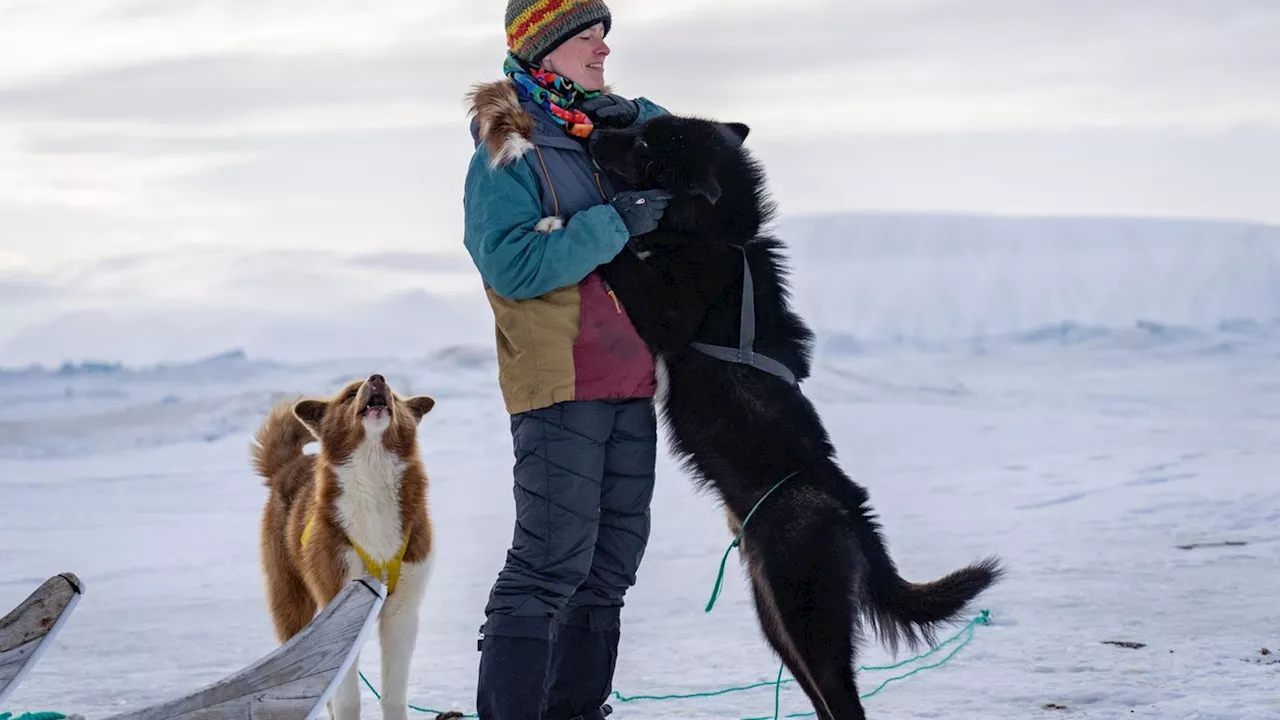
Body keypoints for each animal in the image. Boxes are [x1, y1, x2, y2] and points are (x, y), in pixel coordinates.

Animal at [252, 371, 437, 717]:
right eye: (351, 394)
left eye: (393, 393)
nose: (377, 378)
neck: (373, 474)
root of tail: (287, 466)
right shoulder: (340, 598)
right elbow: (347, 695)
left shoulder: (402, 611)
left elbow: (394, 693)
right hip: (290, 600)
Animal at [591, 114, 1008, 712]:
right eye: (645, 124)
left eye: (646, 144)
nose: (596, 128)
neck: (718, 236)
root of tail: (848, 508)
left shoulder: (663, 315)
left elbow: (624, 255)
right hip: (778, 620)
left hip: (808, 619)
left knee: (844, 699)